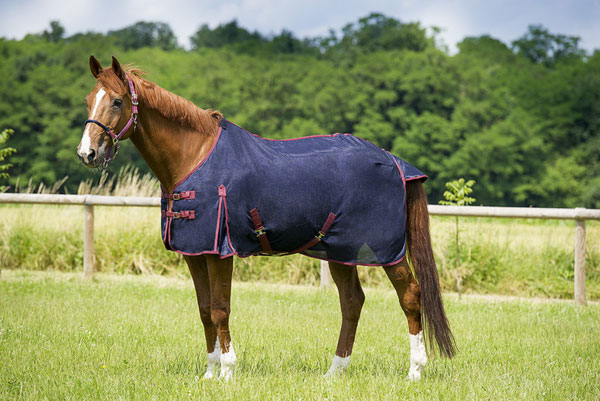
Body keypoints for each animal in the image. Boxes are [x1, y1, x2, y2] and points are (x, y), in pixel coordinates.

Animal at [77, 54, 458, 380]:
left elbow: (220, 308)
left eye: (116, 101)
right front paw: (209, 373)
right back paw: (334, 372)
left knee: (410, 295)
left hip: (385, 251)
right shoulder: (195, 253)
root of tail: (395, 162)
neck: (194, 157)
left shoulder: (220, 252)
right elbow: (204, 310)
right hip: (341, 251)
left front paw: (228, 372)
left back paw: (414, 371)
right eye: (88, 99)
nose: (87, 153)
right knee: (352, 302)